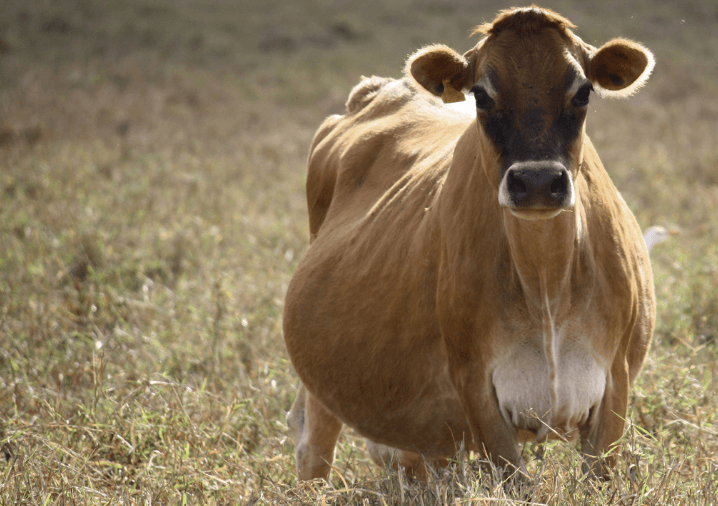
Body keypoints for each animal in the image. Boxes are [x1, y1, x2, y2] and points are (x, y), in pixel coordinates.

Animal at [283, 6, 656, 481]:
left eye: (583, 91)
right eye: (480, 95)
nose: (537, 182)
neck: (546, 282)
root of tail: (377, 89)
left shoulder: (615, 383)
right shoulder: (476, 387)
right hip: (323, 376)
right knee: (313, 446)